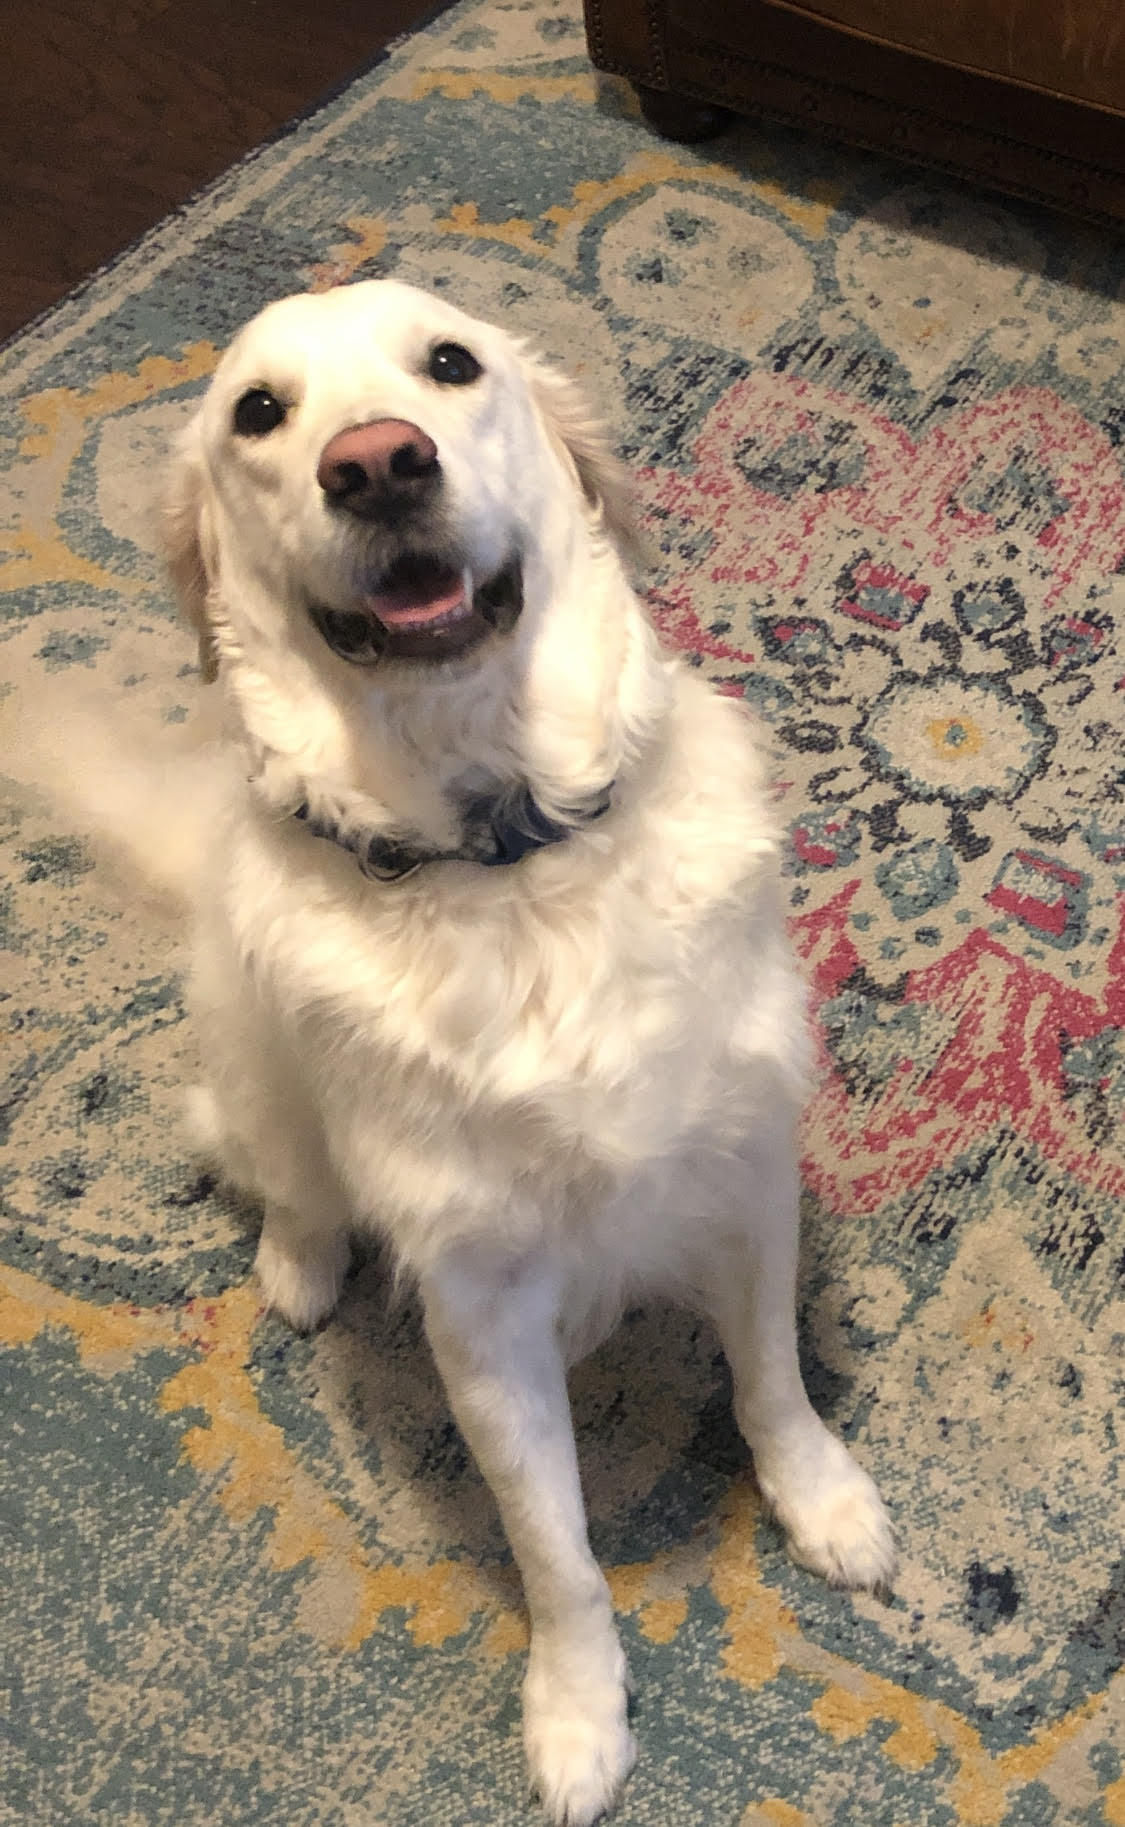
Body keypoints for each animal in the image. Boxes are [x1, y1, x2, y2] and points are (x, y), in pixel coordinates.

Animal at [110, 277, 891, 1819]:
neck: (506, 850)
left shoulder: (745, 1173)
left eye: (450, 363)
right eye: (259, 412)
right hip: (248, 1044)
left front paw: (822, 1498)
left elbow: (771, 1376)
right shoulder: (481, 1314)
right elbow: (556, 1549)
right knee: (283, 1176)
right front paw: (578, 1711)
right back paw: (299, 1266)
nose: (376, 463)